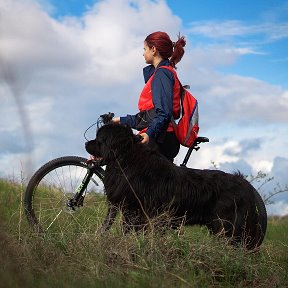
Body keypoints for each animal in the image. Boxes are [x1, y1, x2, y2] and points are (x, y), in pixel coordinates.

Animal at [86, 122, 264, 249]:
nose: (86, 144)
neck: (126, 160)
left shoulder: (135, 210)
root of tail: (247, 187)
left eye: (99, 139)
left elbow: (128, 229)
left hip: (228, 226)